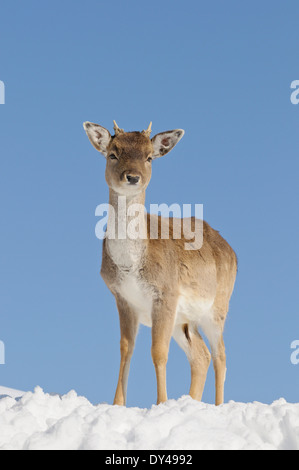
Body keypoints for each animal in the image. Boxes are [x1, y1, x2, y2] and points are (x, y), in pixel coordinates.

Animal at [83, 119, 238, 406]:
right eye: (113, 154)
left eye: (149, 157)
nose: (132, 177)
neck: (131, 267)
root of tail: (231, 250)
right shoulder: (123, 298)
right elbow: (125, 348)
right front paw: (118, 404)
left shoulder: (166, 293)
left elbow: (158, 351)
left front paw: (161, 403)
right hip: (184, 320)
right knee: (201, 355)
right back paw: (191, 401)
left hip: (218, 306)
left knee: (220, 356)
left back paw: (218, 405)